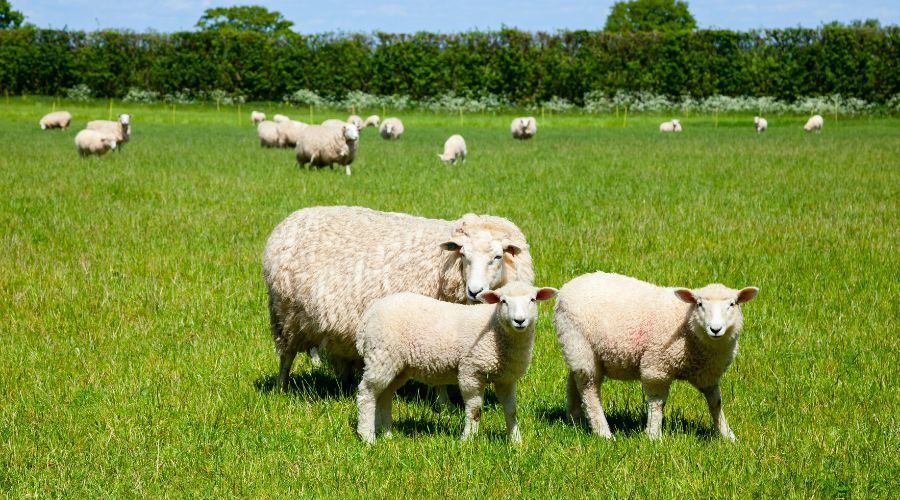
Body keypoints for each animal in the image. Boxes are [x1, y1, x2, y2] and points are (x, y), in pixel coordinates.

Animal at [260, 205, 536, 392]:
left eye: (498, 256)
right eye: (463, 255)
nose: (474, 291)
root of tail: (291, 219)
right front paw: (443, 405)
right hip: (285, 313)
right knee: (286, 356)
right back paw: (281, 388)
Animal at [356, 284, 560, 444]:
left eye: (532, 300)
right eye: (503, 301)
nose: (520, 320)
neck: (495, 328)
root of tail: (369, 314)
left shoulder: (506, 379)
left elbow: (511, 410)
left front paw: (516, 441)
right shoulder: (471, 371)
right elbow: (474, 409)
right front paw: (468, 439)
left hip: (397, 366)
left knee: (384, 395)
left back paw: (387, 434)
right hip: (381, 355)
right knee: (367, 394)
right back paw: (368, 437)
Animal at [552, 272, 756, 440]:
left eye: (732, 304)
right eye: (700, 304)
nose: (715, 329)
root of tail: (565, 288)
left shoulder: (708, 374)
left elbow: (716, 403)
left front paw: (727, 436)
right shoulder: (657, 366)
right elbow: (658, 402)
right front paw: (653, 435)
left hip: (578, 349)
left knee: (574, 381)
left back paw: (575, 420)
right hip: (579, 343)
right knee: (589, 390)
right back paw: (604, 433)